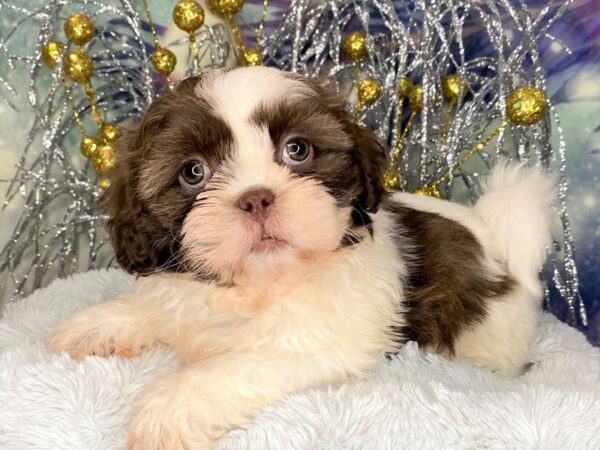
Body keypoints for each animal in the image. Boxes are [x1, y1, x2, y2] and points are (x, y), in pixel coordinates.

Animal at [49, 67, 556, 450]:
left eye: (297, 149)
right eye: (193, 172)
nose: (256, 198)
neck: (258, 283)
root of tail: (490, 233)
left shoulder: (319, 344)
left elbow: (235, 367)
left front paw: (169, 406)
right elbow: (157, 306)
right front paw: (99, 323)